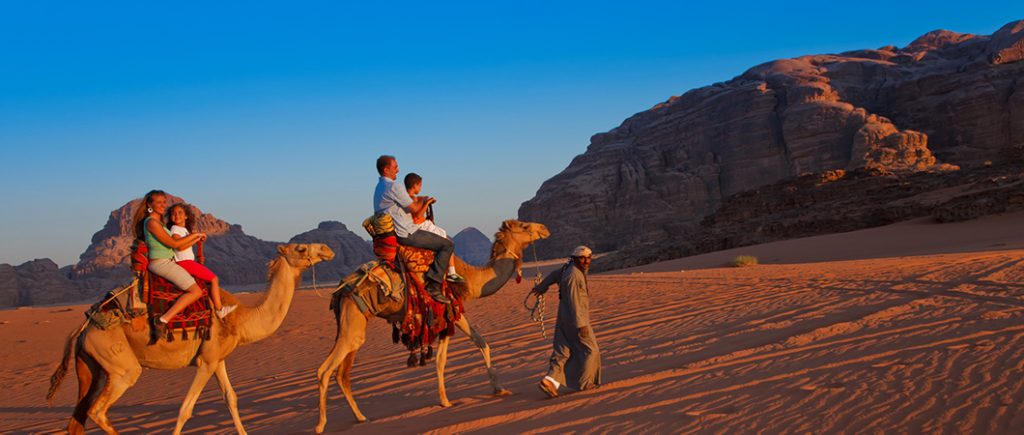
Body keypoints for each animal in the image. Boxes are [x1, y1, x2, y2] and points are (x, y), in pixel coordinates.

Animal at [48, 242, 335, 431]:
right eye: (301, 248)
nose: (327, 249)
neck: (238, 319)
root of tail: (84, 327)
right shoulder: (205, 362)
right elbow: (185, 410)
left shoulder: (217, 359)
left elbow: (231, 398)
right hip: (120, 366)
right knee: (98, 410)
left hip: (91, 368)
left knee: (79, 416)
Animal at [313, 219, 548, 429]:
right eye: (524, 226)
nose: (544, 228)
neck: (468, 280)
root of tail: (341, 290)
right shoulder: (452, 309)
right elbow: (474, 345)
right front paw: (495, 390)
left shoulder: (445, 318)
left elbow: (450, 356)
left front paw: (449, 400)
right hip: (353, 321)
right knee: (325, 371)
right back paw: (321, 425)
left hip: (353, 324)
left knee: (342, 374)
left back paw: (361, 418)